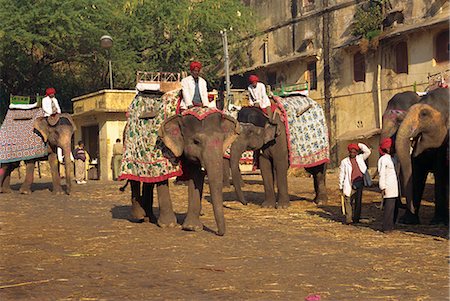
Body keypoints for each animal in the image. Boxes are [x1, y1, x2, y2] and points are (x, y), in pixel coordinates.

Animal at [118, 89, 239, 234]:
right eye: (196, 141)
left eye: (222, 140)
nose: (219, 233)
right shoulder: (162, 144)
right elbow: (163, 174)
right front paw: (168, 225)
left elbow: (196, 175)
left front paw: (191, 228)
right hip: (129, 146)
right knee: (135, 176)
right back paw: (140, 216)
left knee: (149, 179)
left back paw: (150, 218)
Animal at [396, 88, 448, 224]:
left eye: (424, 114)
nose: (406, 206)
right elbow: (416, 169)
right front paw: (408, 220)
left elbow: (440, 171)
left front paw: (437, 222)